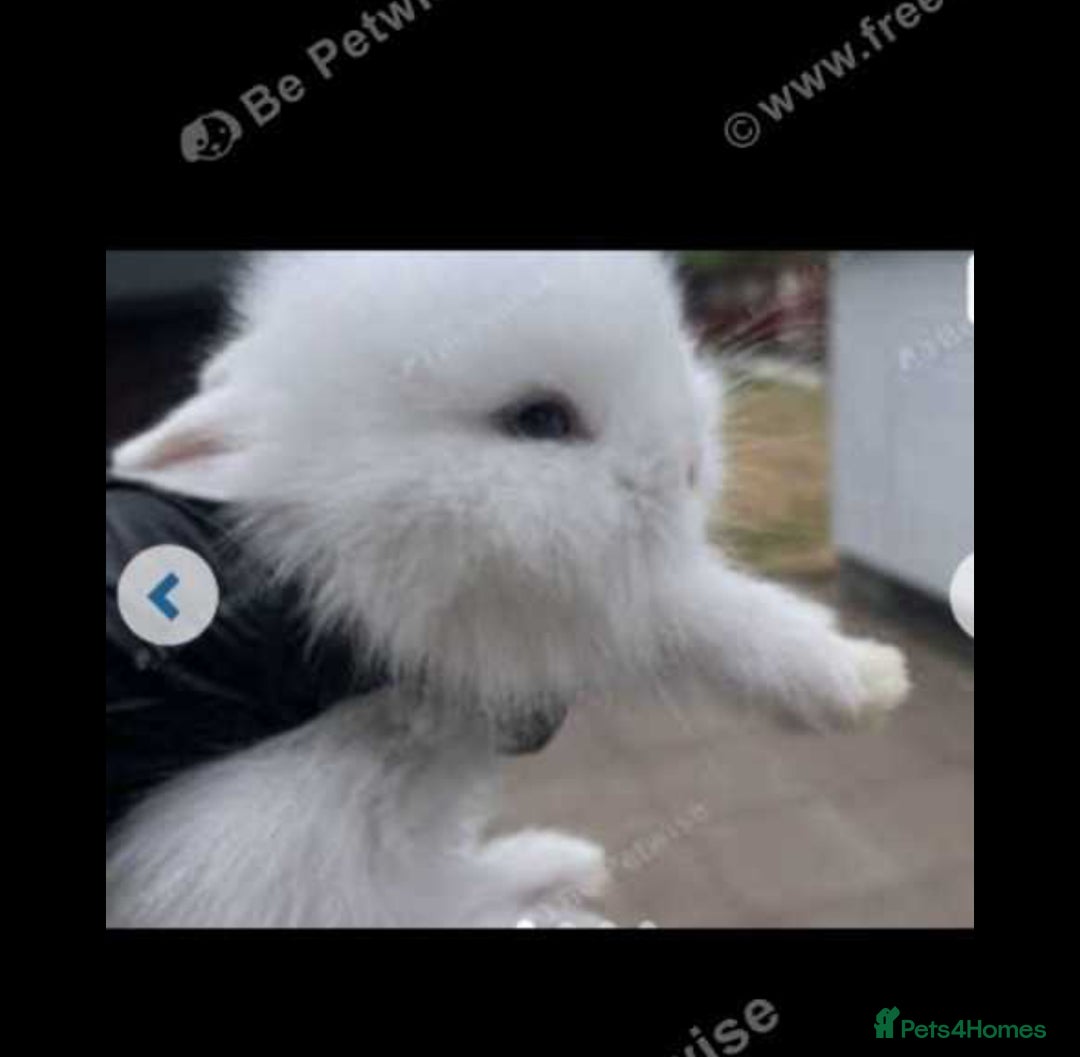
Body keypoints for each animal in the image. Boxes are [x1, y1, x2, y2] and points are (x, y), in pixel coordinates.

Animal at [105, 251, 910, 927]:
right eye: (540, 419)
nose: (688, 464)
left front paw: (872, 676)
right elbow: (707, 610)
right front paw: (866, 680)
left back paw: (566, 862)